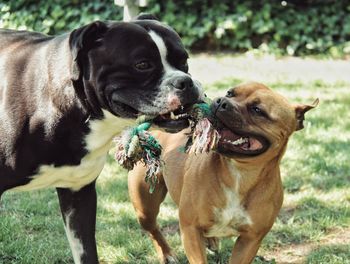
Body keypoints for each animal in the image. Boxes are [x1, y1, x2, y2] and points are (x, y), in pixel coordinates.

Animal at [128, 81, 318, 262]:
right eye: (230, 93)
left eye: (258, 110)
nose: (222, 101)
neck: (240, 173)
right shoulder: (190, 230)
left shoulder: (250, 240)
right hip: (146, 208)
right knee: (153, 229)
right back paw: (167, 254)